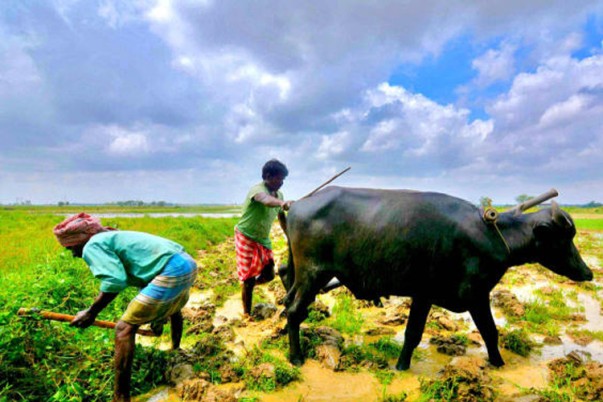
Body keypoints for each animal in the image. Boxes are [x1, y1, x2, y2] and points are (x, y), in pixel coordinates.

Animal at [284, 187, 596, 370]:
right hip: (314, 274)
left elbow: (418, 334)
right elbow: (486, 331)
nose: (588, 272)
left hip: (303, 277)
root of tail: (297, 205)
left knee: (288, 302)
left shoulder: (432, 296)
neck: (490, 235)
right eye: (563, 238)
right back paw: (296, 357)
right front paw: (498, 363)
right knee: (294, 311)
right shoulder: (467, 295)